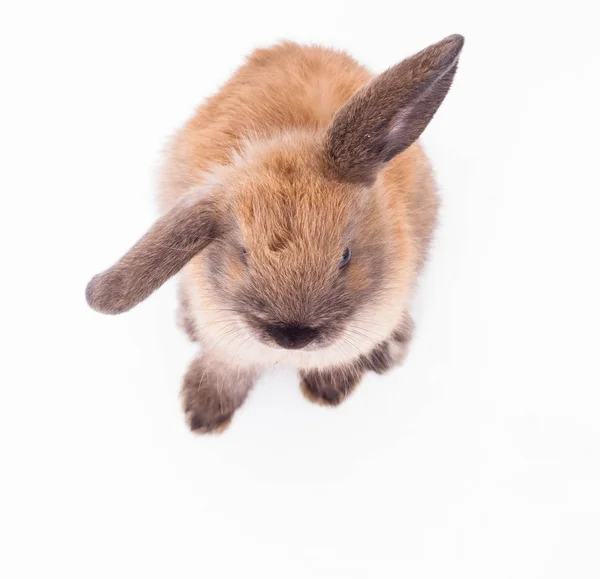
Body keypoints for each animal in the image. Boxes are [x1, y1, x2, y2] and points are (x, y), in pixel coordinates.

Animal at [86, 34, 466, 432]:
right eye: (243, 255)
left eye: (345, 256)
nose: (292, 336)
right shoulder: (226, 346)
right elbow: (222, 368)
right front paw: (202, 414)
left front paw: (329, 391)